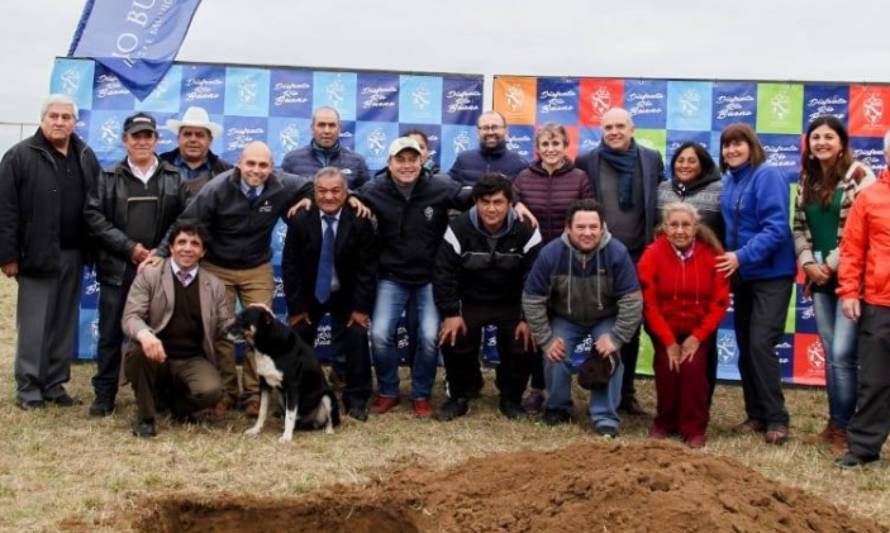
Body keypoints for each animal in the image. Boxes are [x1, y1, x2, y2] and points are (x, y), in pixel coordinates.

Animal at [227, 304, 338, 440]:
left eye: (242, 319)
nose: (223, 330)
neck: (267, 346)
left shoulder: (292, 387)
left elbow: (289, 415)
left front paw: (286, 437)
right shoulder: (264, 384)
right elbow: (262, 410)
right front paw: (256, 429)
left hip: (328, 396)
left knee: (330, 420)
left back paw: (329, 431)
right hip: (281, 396)